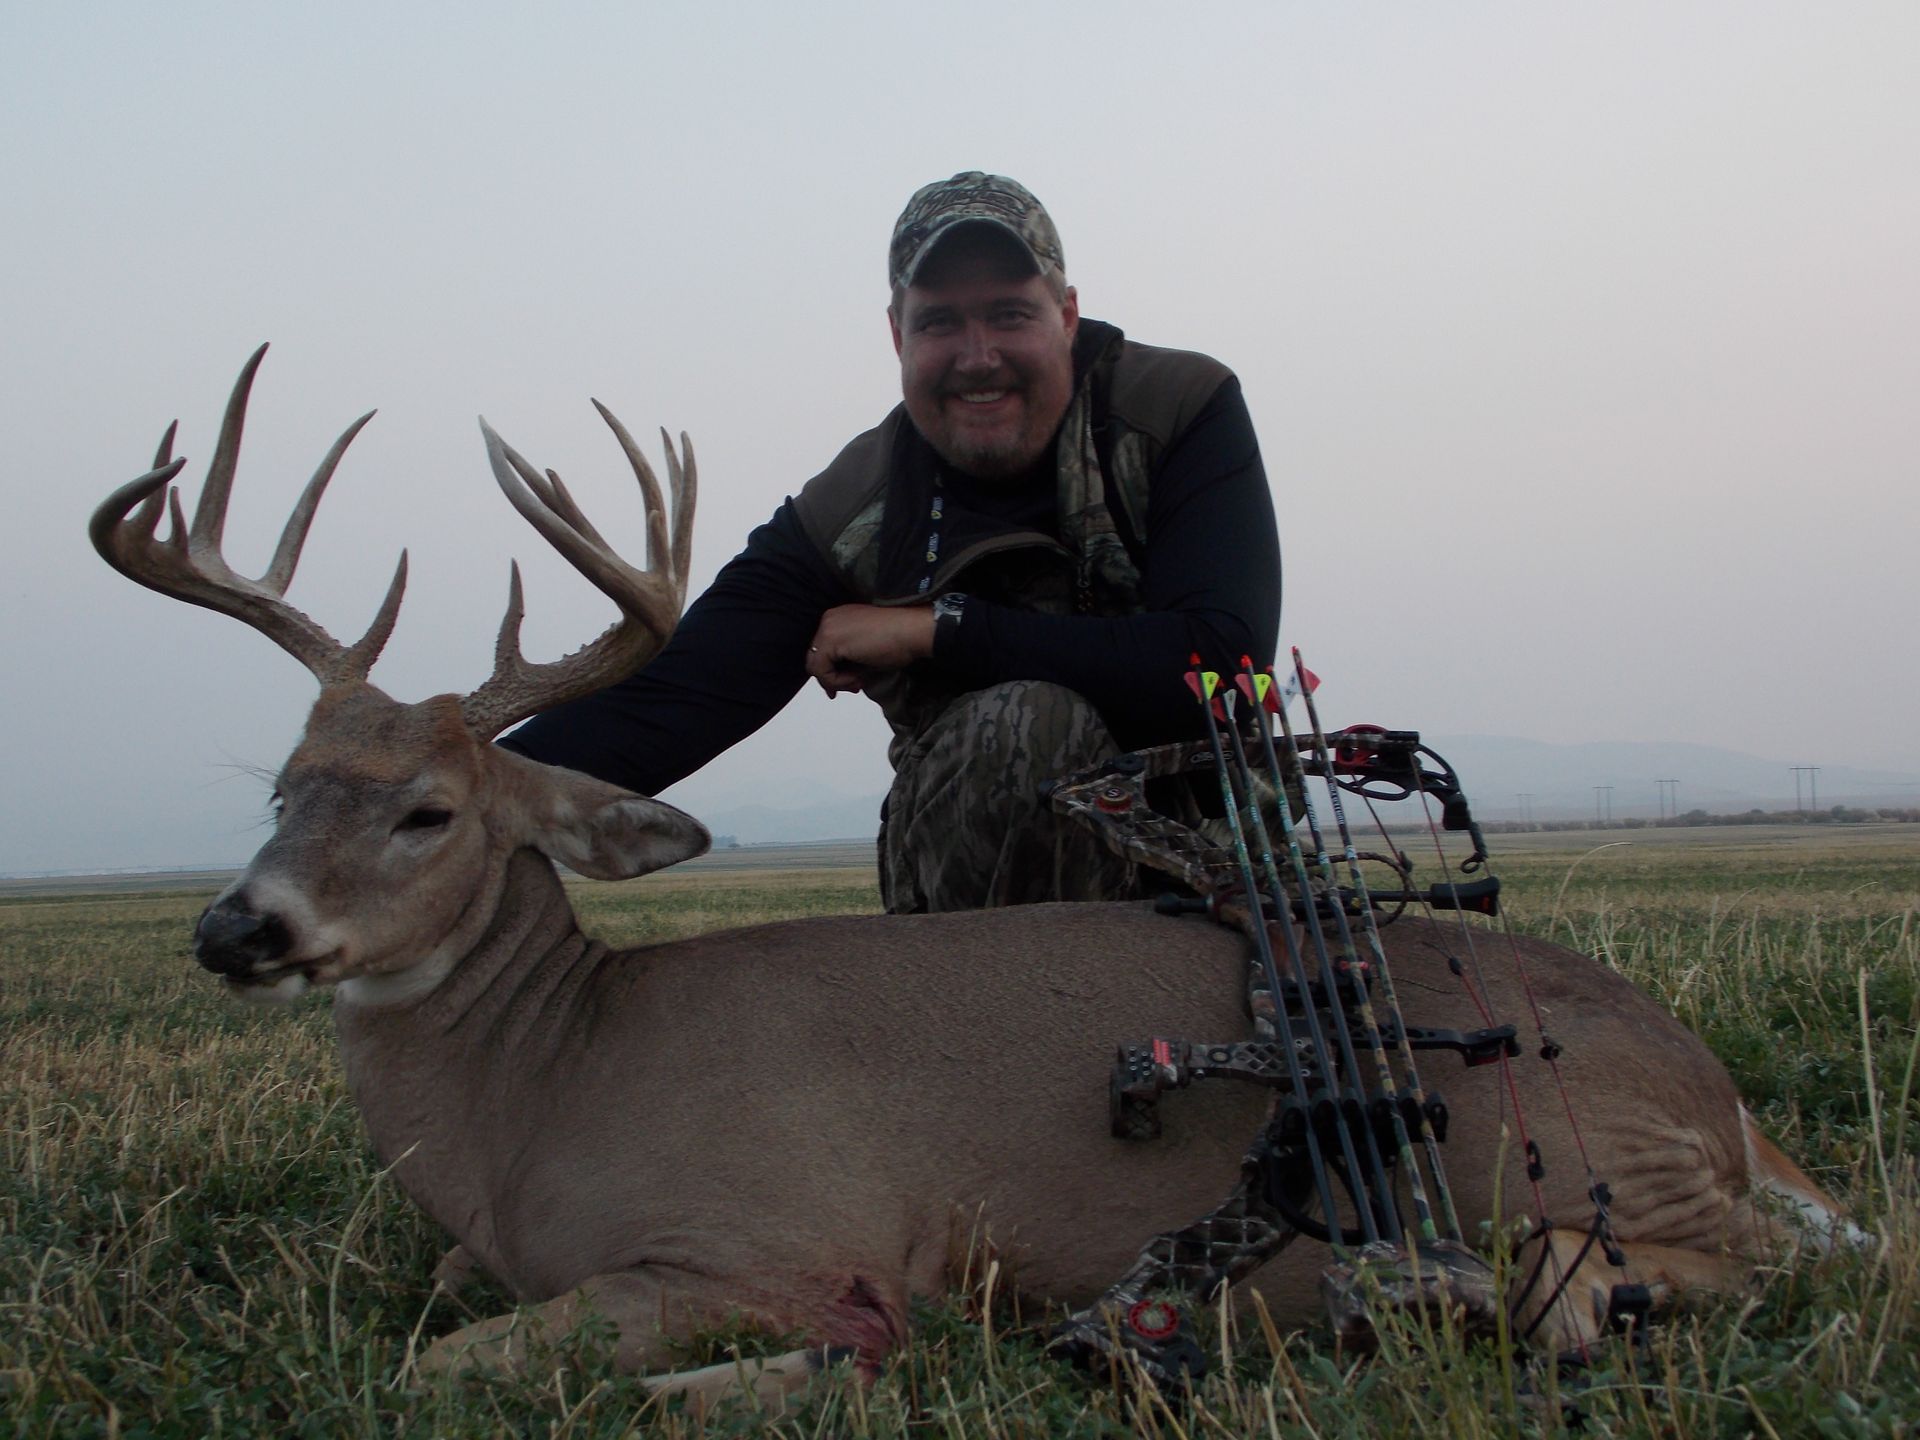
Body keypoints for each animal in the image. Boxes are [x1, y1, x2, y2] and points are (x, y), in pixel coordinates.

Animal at [91, 348, 1852, 1409]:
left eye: (430, 813)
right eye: (283, 787)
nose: (237, 925)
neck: (536, 1103)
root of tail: (1711, 1084)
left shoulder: (766, 1239)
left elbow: (440, 1369)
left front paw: (792, 1376)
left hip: (1549, 1149)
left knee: (1725, 1263)